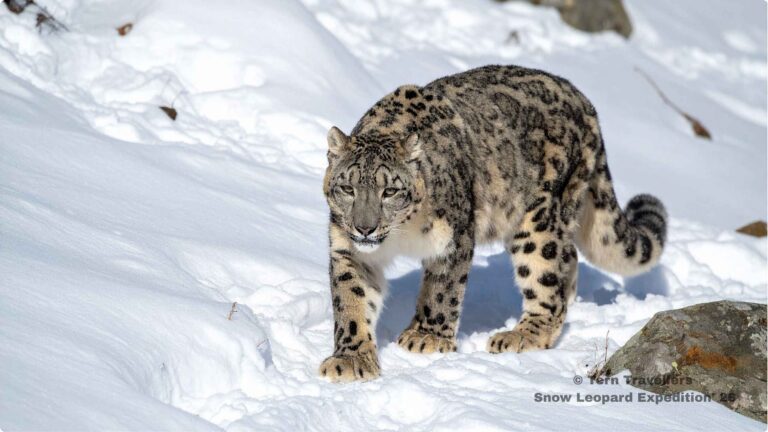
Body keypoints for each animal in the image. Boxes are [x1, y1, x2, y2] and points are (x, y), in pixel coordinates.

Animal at [319, 65, 667, 382]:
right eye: (348, 188)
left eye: (389, 191)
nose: (365, 228)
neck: (401, 236)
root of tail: (584, 101)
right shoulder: (349, 250)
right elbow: (351, 300)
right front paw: (350, 359)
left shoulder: (454, 239)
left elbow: (441, 291)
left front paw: (426, 337)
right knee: (568, 259)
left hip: (538, 220)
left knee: (546, 277)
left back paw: (521, 335)